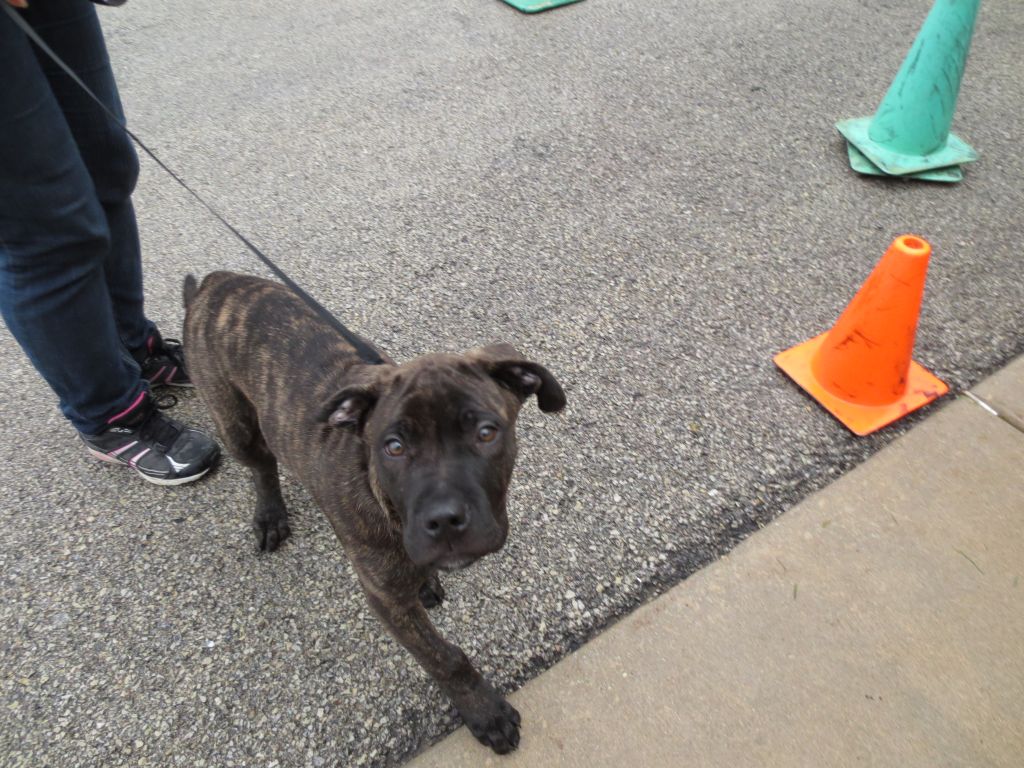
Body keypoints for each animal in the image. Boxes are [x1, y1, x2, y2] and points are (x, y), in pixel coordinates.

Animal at [182, 271, 566, 754]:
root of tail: (214, 282)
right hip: (235, 426)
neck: (379, 491)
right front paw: (485, 712)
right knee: (262, 464)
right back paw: (270, 514)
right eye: (394, 447)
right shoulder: (385, 600)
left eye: (485, 433)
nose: (444, 520)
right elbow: (445, 659)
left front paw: (428, 581)